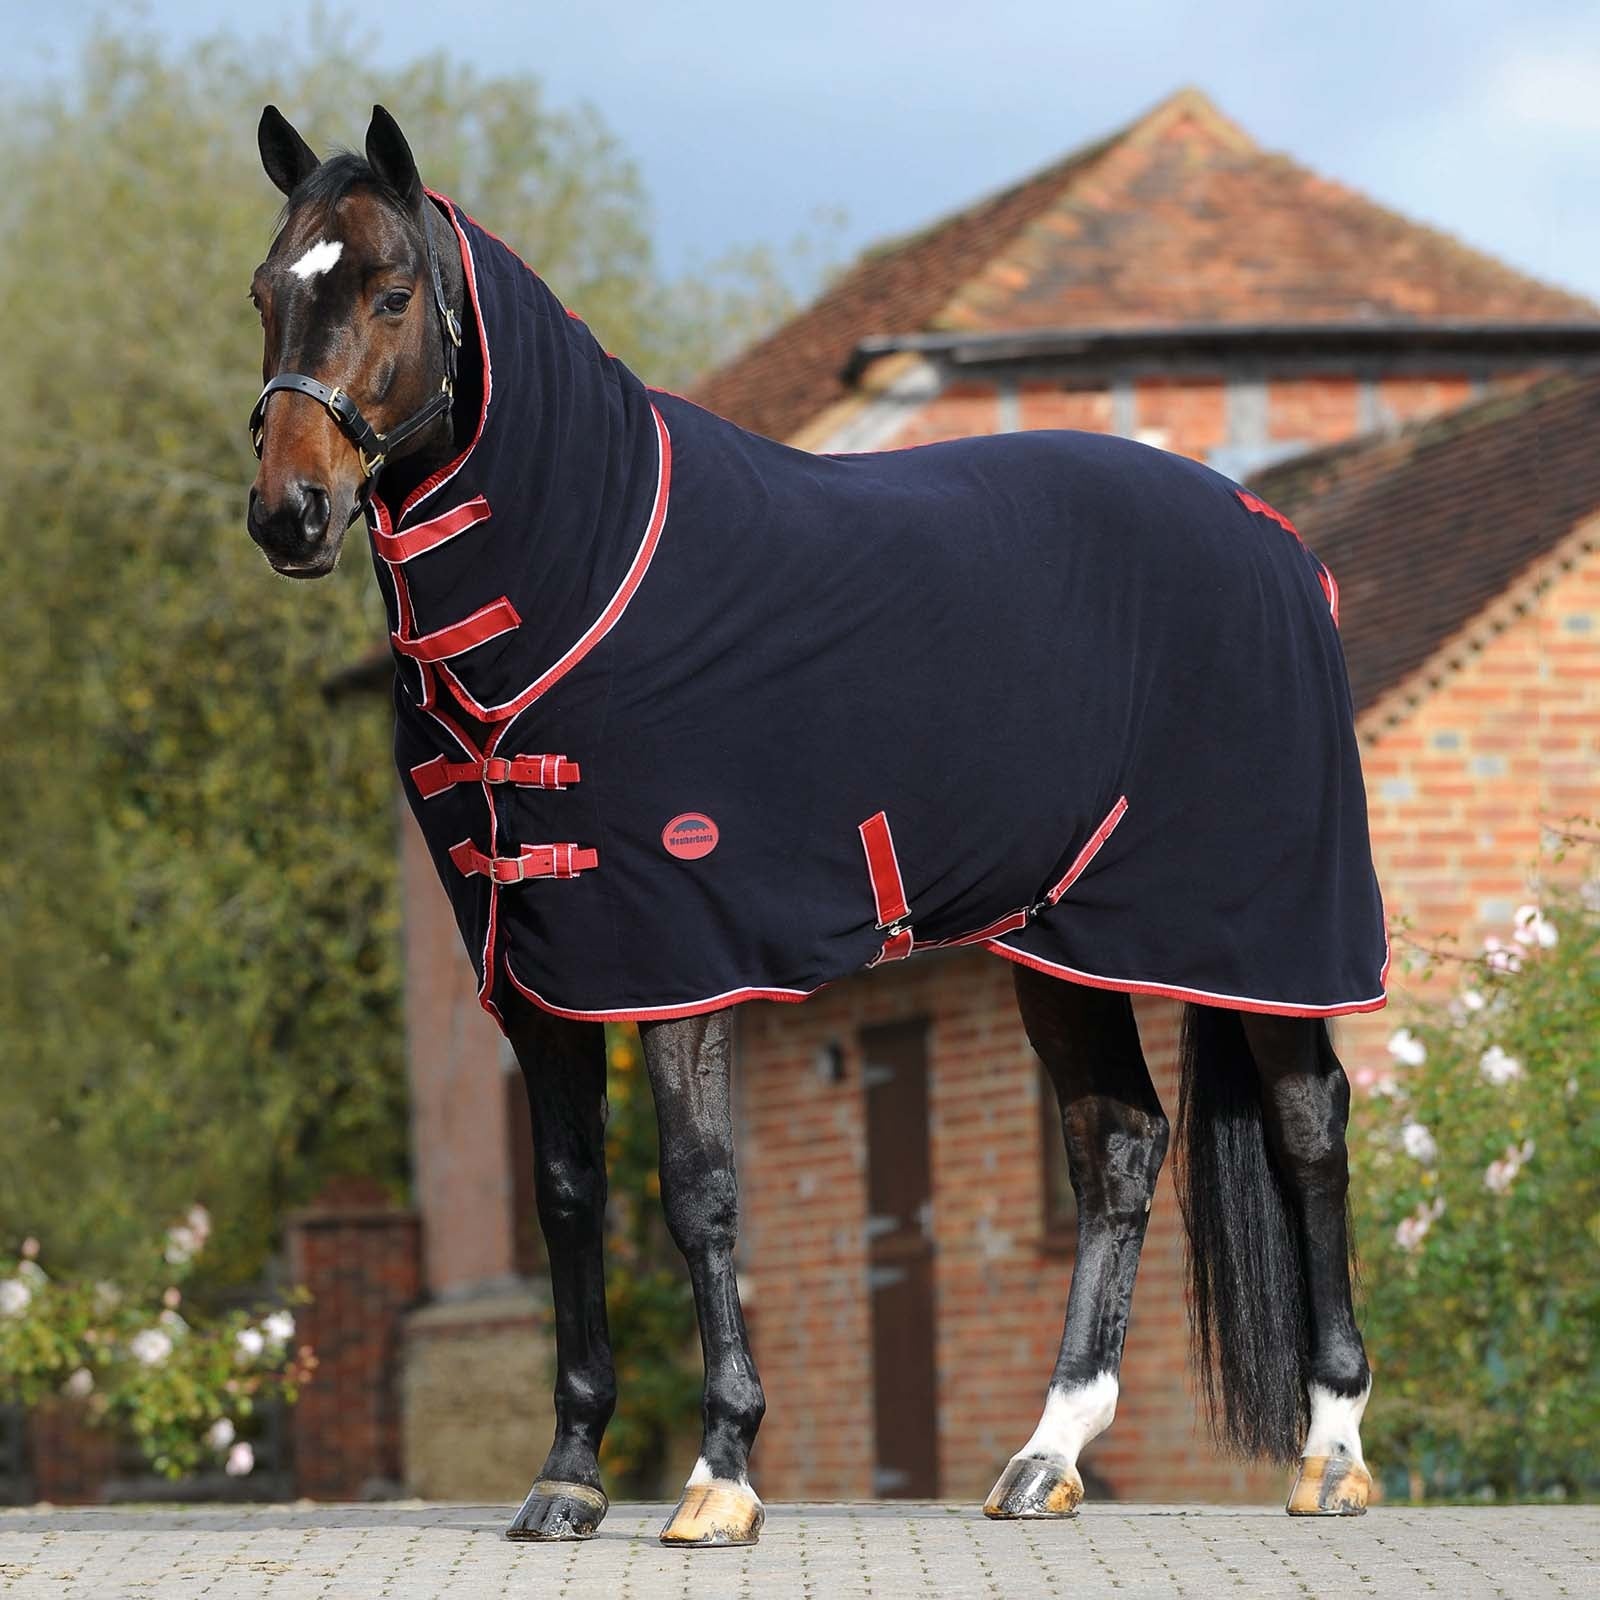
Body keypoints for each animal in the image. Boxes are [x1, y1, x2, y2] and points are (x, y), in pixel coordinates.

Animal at [245, 103, 1386, 1545]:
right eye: (267, 291)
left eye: (391, 293)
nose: (289, 513)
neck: (585, 577)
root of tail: (1278, 541)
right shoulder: (542, 965)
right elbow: (566, 1195)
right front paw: (568, 1474)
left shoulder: (677, 955)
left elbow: (696, 1193)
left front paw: (721, 1471)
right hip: (1064, 945)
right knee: (1120, 1149)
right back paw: (1048, 1454)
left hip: (1263, 934)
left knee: (1308, 1132)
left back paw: (1331, 1451)